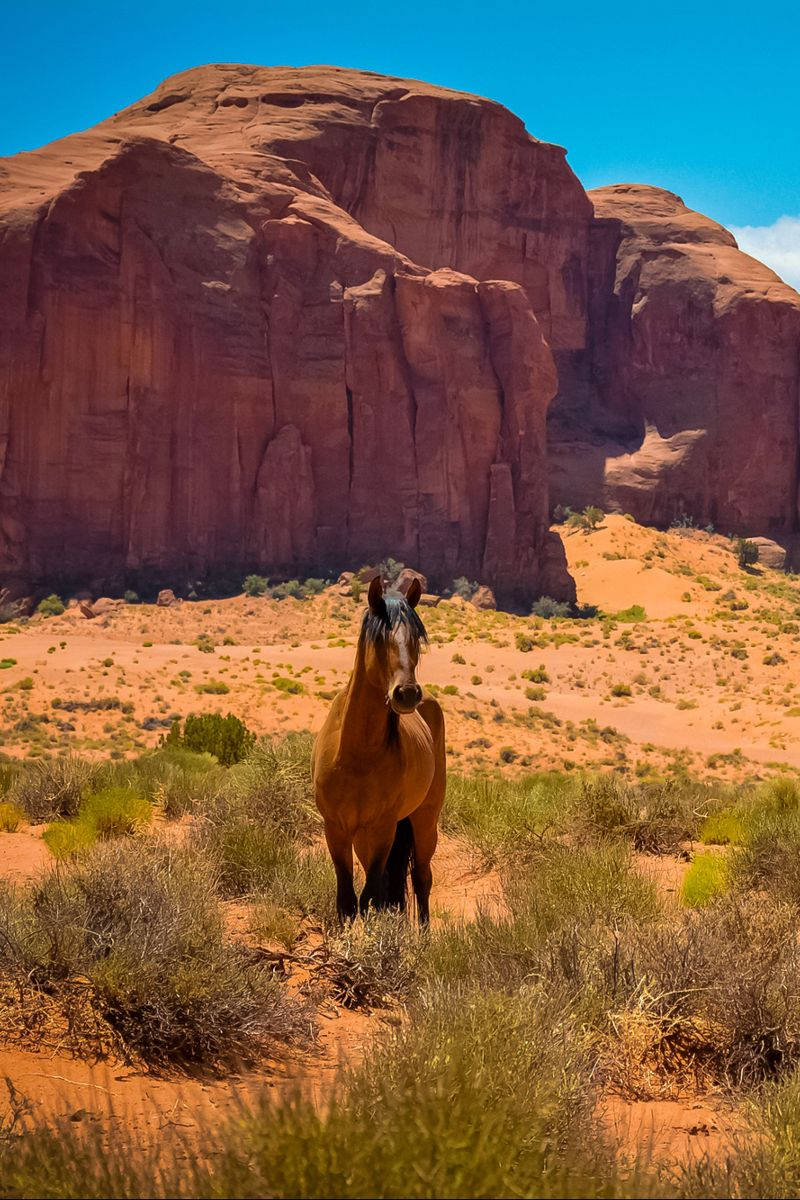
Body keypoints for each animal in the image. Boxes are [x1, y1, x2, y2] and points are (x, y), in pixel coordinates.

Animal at [311, 576, 448, 921]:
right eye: (380, 638)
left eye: (417, 638)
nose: (407, 694)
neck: (357, 755)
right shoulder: (336, 829)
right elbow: (347, 901)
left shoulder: (383, 828)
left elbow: (371, 896)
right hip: (364, 836)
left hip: (424, 819)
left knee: (421, 877)